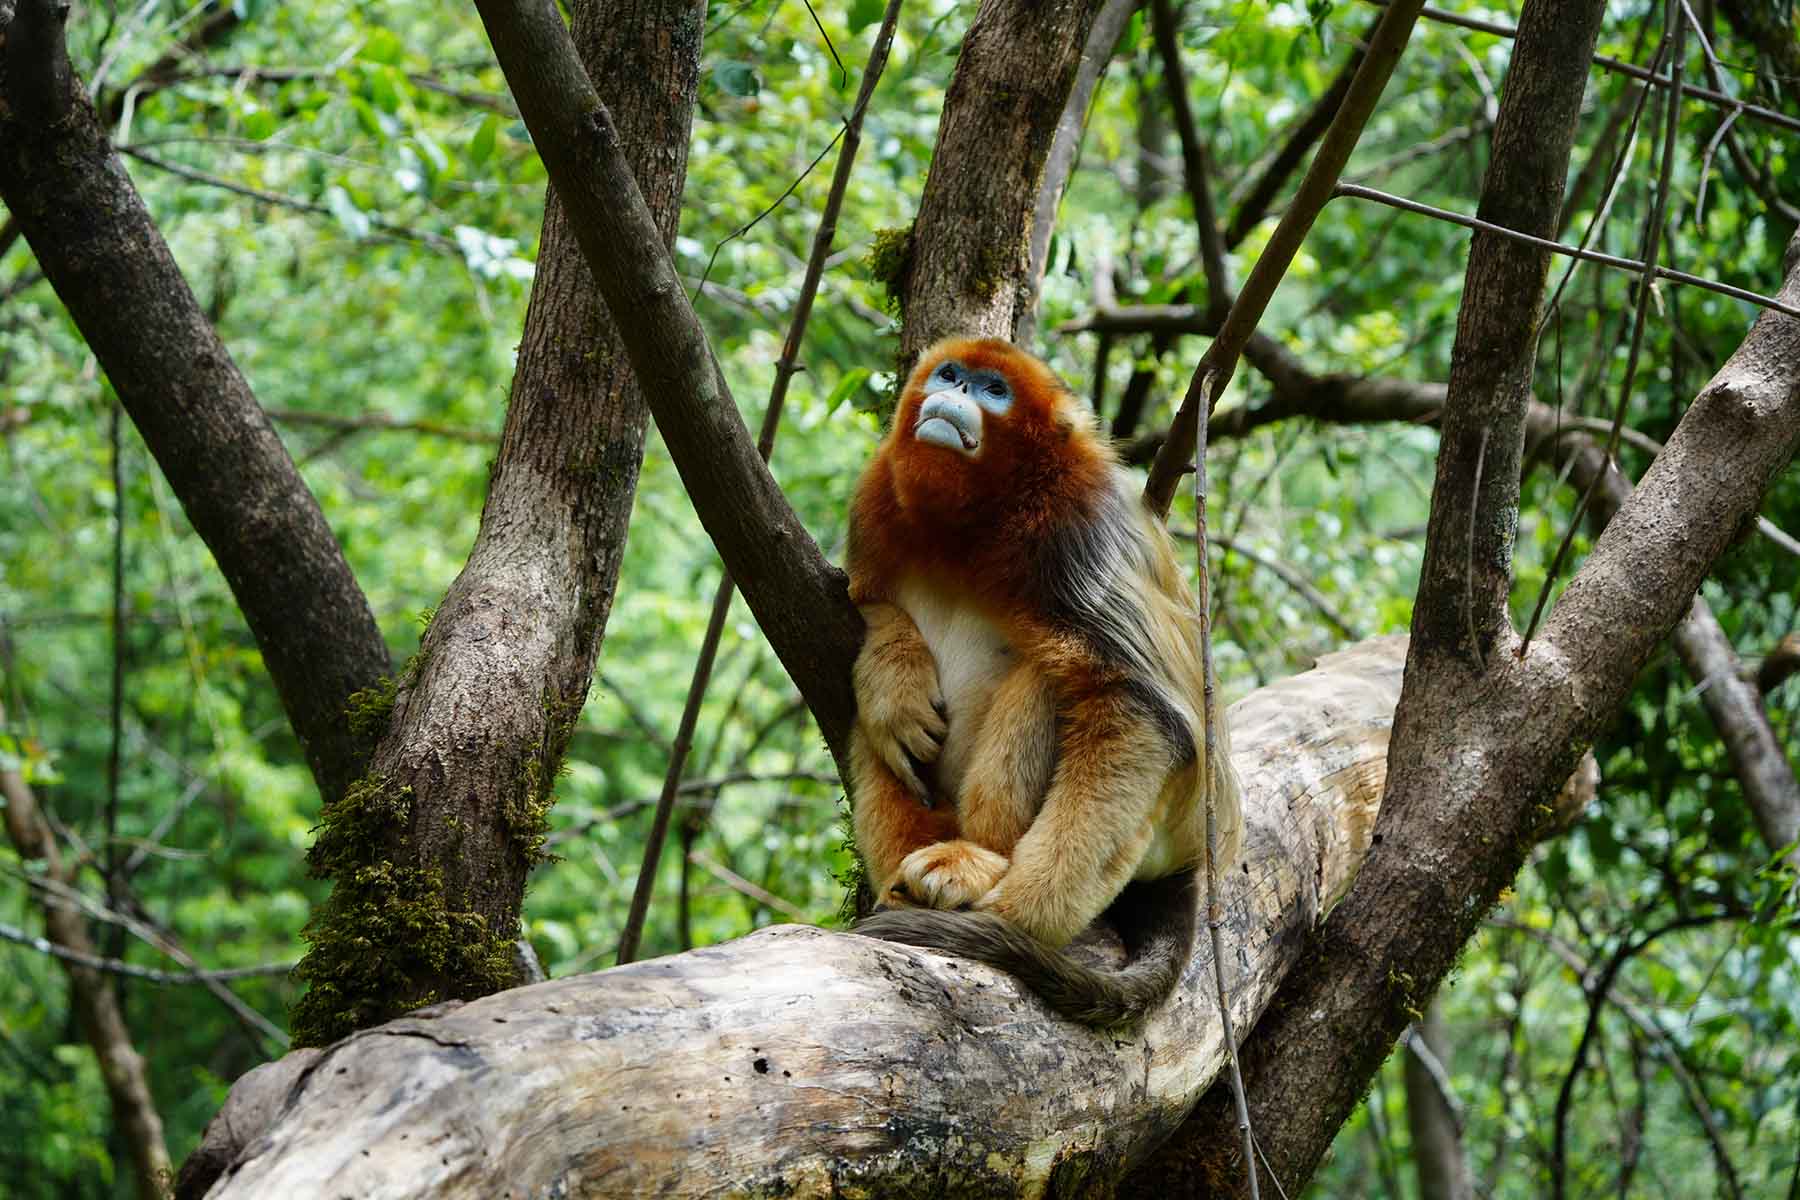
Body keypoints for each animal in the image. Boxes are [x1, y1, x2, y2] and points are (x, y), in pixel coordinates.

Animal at [846, 336, 1243, 1027]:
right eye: (950, 374)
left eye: (994, 390)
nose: (955, 391)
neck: (975, 525)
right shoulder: (875, 499)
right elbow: (868, 601)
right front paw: (893, 685)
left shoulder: (1078, 528)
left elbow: (1138, 706)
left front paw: (1017, 917)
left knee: (1054, 677)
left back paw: (972, 862)